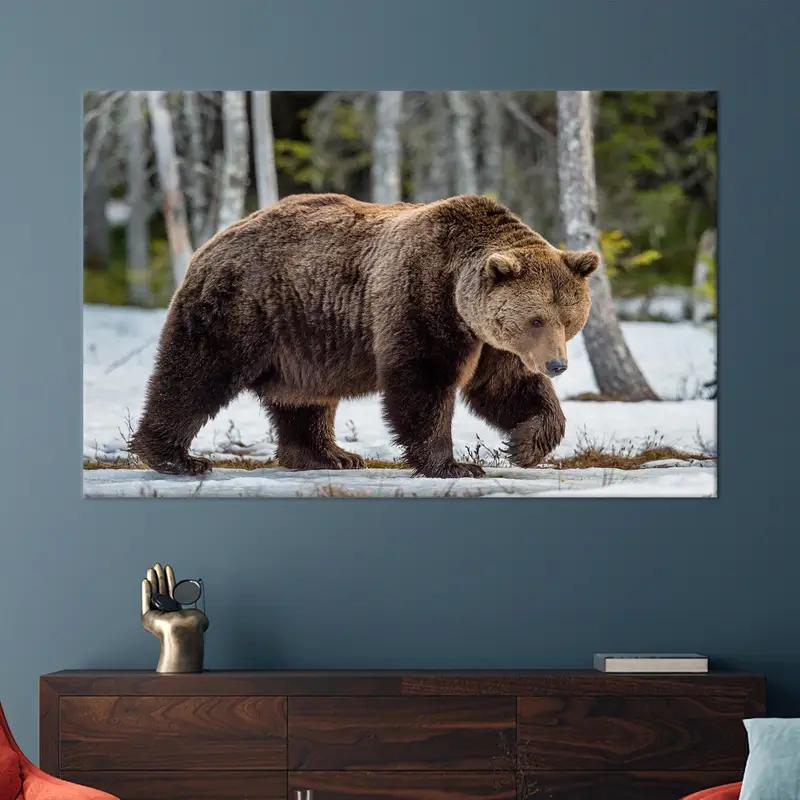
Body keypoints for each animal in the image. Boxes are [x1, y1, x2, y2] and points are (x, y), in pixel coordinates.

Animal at [131, 193, 598, 479]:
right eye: (536, 319)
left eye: (569, 318)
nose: (557, 364)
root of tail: (213, 241)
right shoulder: (421, 301)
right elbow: (423, 383)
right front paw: (453, 465)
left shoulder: (489, 342)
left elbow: (506, 387)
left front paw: (523, 445)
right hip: (241, 309)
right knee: (196, 375)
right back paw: (176, 457)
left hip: (302, 341)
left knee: (303, 400)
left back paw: (330, 455)